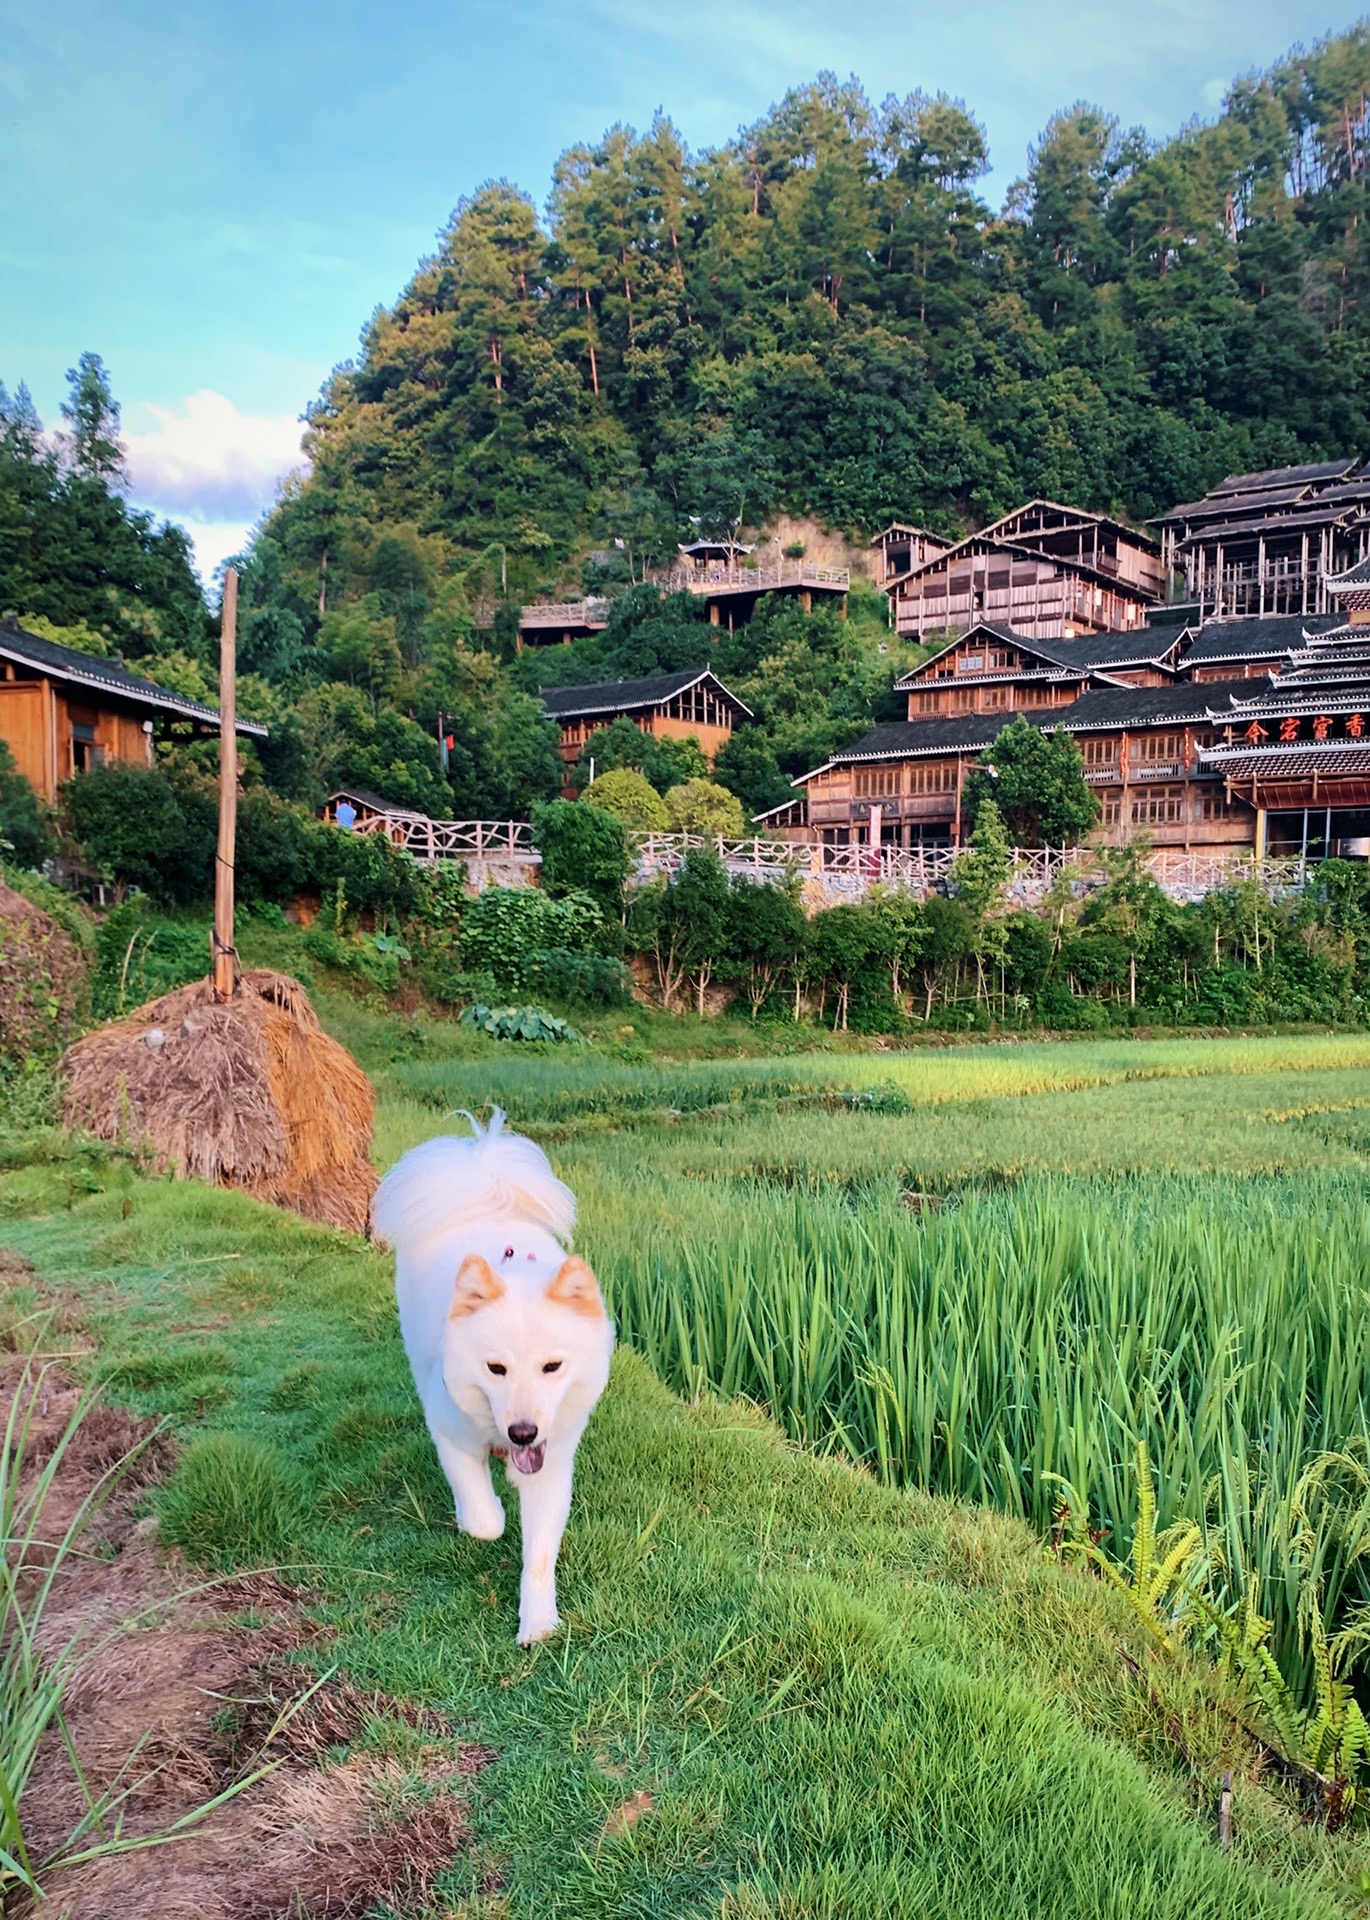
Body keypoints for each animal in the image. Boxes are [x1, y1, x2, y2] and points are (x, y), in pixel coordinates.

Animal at [370, 1121, 610, 1643]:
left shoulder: (552, 1465)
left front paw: (538, 1622)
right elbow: (484, 1519)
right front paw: (484, 1514)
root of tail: (477, 1179)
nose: (523, 1433)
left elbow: (539, 1556)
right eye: (495, 1369)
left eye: (552, 1367)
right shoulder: (450, 1433)